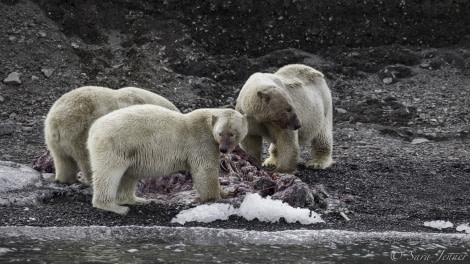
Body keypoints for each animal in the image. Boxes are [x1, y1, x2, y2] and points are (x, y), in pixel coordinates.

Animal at [44, 85, 180, 185]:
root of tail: (55, 122)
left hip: (54, 141)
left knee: (63, 159)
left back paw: (69, 180)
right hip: (79, 130)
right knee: (87, 157)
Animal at [86, 104, 248, 216]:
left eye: (233, 134)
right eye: (220, 133)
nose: (224, 149)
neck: (207, 122)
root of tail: (94, 128)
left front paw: (228, 193)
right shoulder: (202, 141)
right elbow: (205, 171)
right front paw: (217, 199)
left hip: (128, 150)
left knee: (128, 175)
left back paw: (137, 200)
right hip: (114, 144)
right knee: (108, 174)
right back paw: (114, 207)